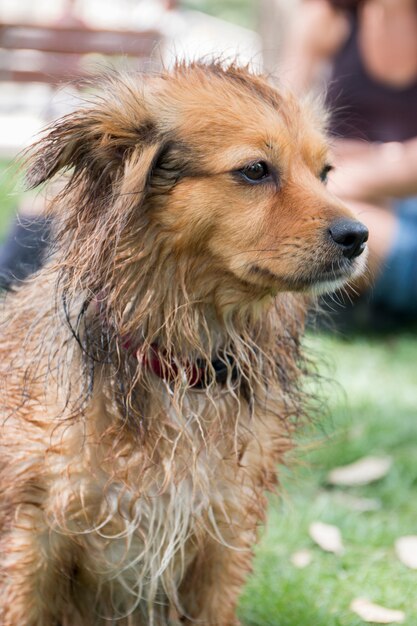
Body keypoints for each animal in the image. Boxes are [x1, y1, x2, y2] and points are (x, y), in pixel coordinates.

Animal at [0, 59, 366, 624]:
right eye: (255, 170)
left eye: (324, 173)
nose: (359, 236)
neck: (179, 367)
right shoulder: (31, 534)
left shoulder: (221, 537)